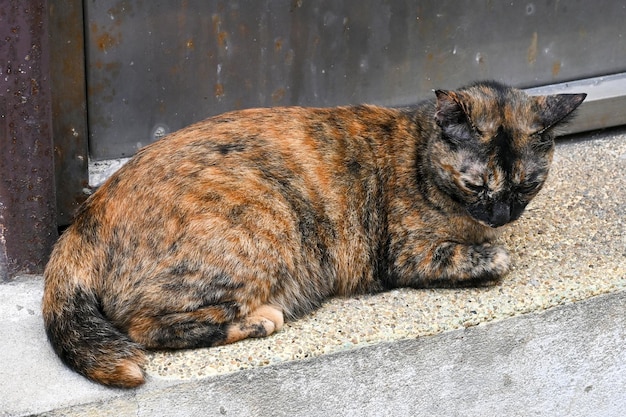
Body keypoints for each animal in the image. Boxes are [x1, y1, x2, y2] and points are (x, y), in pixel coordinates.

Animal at [41, 80, 584, 386]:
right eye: (477, 185)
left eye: (528, 184)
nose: (502, 215)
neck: (419, 152)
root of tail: (84, 219)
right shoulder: (408, 254)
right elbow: (492, 259)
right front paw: (493, 251)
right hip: (265, 224)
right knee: (144, 326)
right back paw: (260, 320)